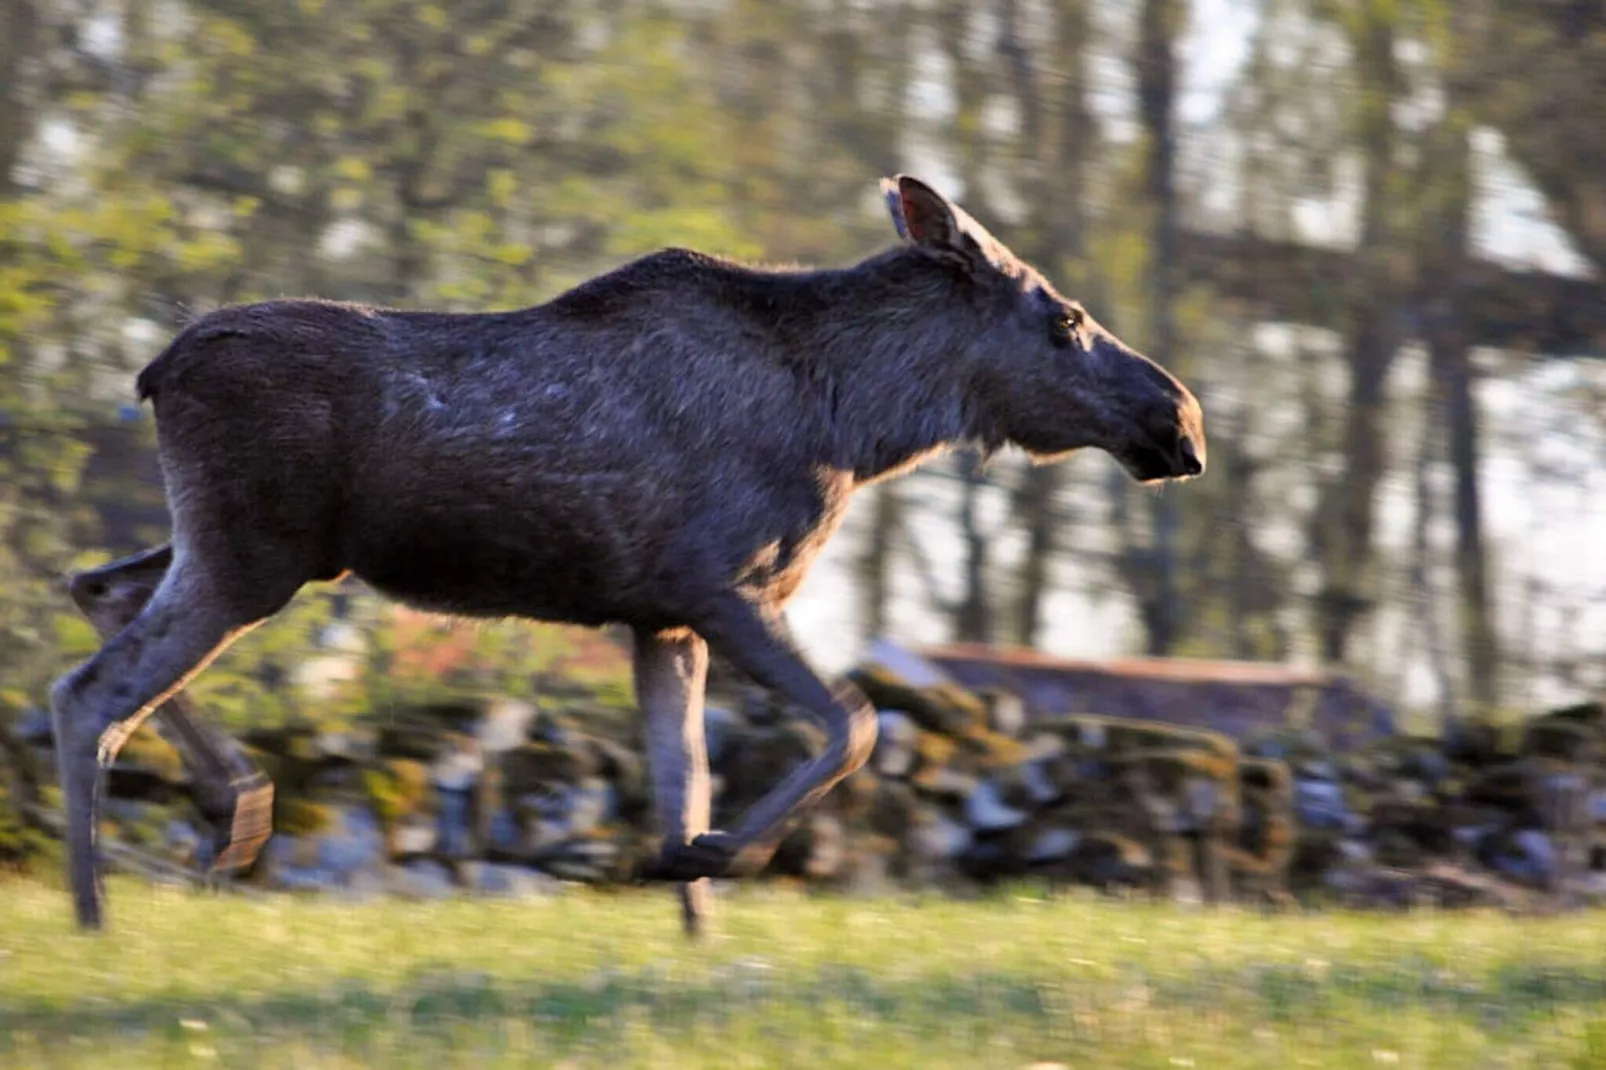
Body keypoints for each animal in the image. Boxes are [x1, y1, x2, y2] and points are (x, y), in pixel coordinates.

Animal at [50, 171, 1207, 931]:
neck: (859, 425)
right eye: (1065, 316)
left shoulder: (660, 618)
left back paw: (233, 810)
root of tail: (154, 370)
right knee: (86, 690)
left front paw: (691, 918)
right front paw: (721, 854)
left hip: (256, 548)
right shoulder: (718, 584)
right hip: (253, 551)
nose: (1181, 419)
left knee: (97, 584)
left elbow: (679, 777)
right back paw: (98, 908)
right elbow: (855, 721)